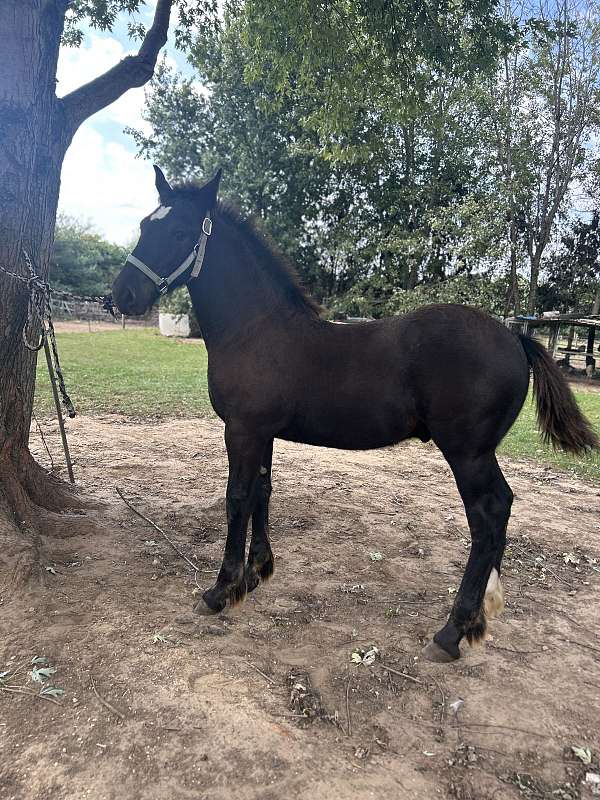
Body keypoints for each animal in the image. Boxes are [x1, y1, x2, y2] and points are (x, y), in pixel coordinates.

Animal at [111, 167, 596, 664]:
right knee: (501, 512)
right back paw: (478, 619)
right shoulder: (263, 433)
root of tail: (516, 338)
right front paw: (257, 573)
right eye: (145, 225)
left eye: (179, 232)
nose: (122, 295)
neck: (257, 331)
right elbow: (263, 492)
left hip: (468, 454)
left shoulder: (241, 431)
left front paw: (220, 591)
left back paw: (451, 632)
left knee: (488, 516)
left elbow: (236, 499)